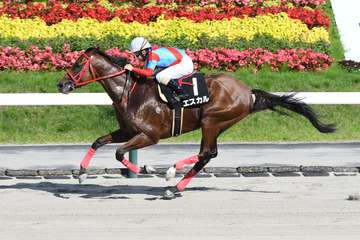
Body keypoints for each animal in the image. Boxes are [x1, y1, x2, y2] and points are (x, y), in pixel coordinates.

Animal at [57, 47, 336, 199]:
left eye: (78, 64)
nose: (61, 84)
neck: (130, 92)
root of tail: (249, 92)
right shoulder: (127, 130)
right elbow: (99, 141)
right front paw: (81, 174)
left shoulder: (149, 136)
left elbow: (118, 153)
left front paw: (147, 169)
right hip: (218, 123)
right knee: (207, 155)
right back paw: (175, 187)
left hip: (212, 120)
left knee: (205, 153)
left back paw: (171, 174)